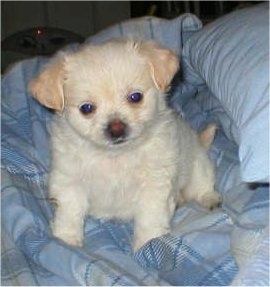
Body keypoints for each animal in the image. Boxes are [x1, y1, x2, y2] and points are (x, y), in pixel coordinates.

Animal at [29, 40, 220, 252]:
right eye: (86, 108)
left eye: (135, 97)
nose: (116, 128)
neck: (115, 156)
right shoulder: (69, 181)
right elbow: (69, 212)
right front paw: (66, 239)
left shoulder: (154, 185)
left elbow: (150, 217)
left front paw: (147, 243)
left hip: (199, 166)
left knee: (203, 186)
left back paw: (210, 200)